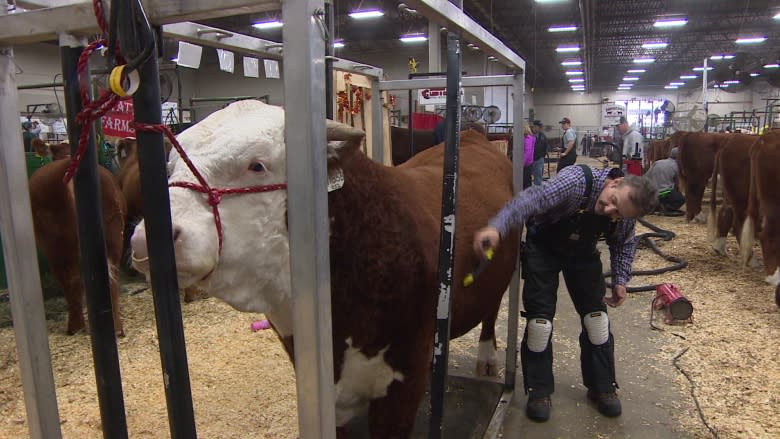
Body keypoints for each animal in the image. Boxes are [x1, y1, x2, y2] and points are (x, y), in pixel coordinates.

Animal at [29, 160, 126, 336]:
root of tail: (67, 162)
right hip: (113, 235)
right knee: (111, 277)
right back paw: (116, 329)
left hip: (56, 244)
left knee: (70, 279)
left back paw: (75, 328)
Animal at [128, 100, 516, 436]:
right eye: (169, 168)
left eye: (257, 165)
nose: (148, 239)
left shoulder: (403, 383)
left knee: (493, 309)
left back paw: (487, 356)